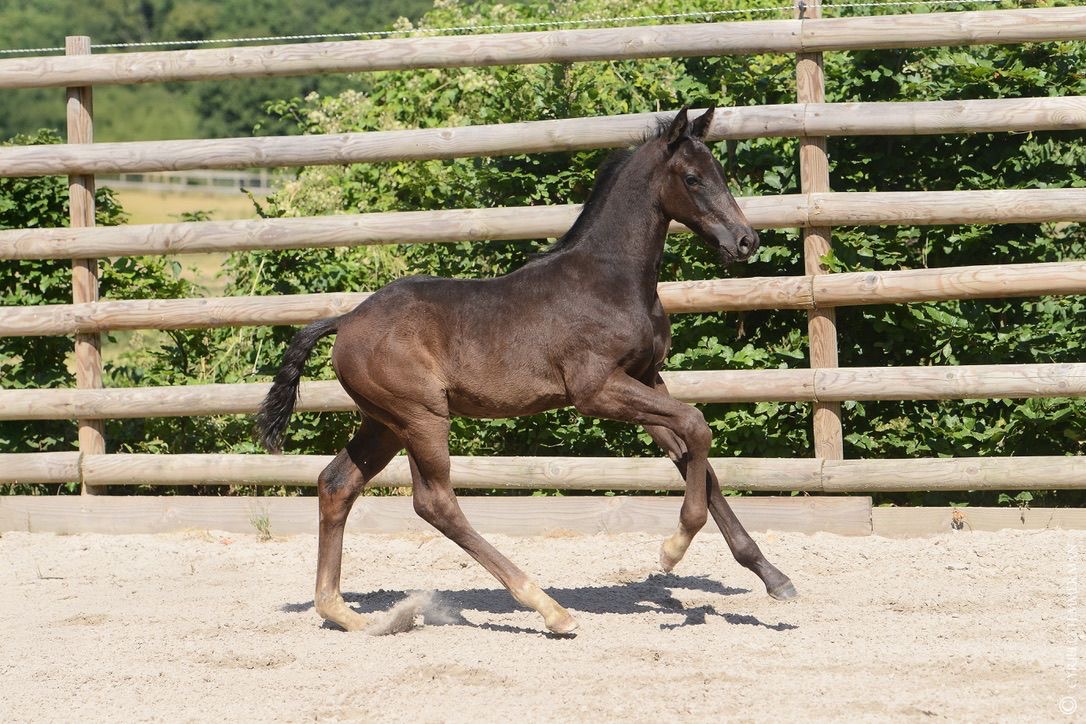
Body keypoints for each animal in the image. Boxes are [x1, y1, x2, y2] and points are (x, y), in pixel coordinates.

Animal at [257, 107, 797, 635]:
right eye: (692, 178)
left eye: (719, 173)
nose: (745, 241)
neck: (612, 279)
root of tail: (347, 320)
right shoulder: (597, 390)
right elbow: (697, 425)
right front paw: (672, 548)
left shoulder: (646, 379)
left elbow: (694, 460)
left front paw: (774, 577)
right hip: (421, 417)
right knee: (434, 503)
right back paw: (548, 608)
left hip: (385, 423)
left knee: (336, 484)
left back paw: (346, 613)